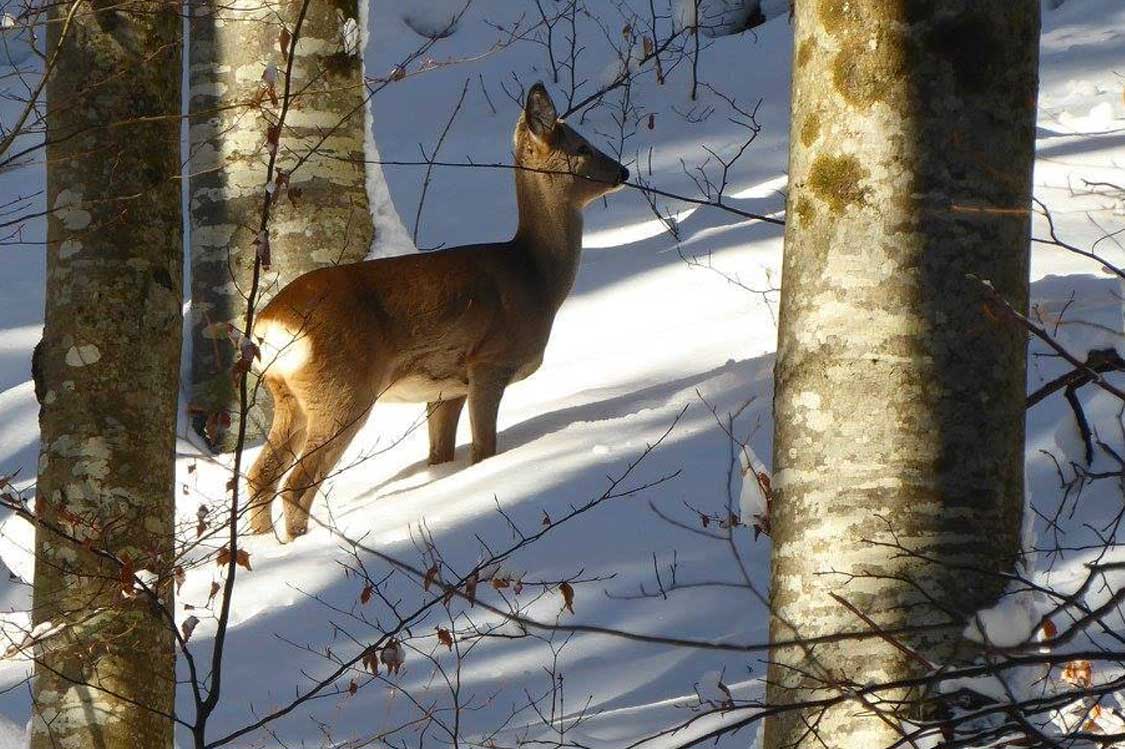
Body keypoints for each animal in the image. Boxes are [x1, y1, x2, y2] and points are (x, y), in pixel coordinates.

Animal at [246, 81, 630, 537]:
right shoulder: (488, 363)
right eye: (583, 147)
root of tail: (271, 324)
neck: (534, 277)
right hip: (341, 390)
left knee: (260, 475)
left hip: (288, 394)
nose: (623, 172)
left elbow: (440, 456)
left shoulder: (446, 388)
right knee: (297, 483)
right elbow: (484, 449)